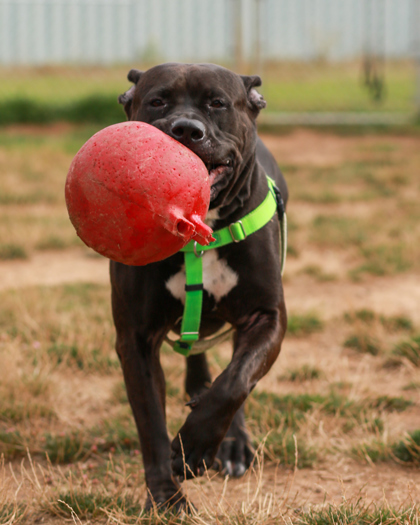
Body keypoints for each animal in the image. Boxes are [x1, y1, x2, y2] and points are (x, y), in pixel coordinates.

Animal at [111, 63, 288, 510]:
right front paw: (166, 496)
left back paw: (233, 443)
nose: (186, 130)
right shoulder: (136, 339)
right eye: (157, 100)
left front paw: (195, 446)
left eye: (217, 103)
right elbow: (151, 426)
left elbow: (236, 381)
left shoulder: (267, 316)